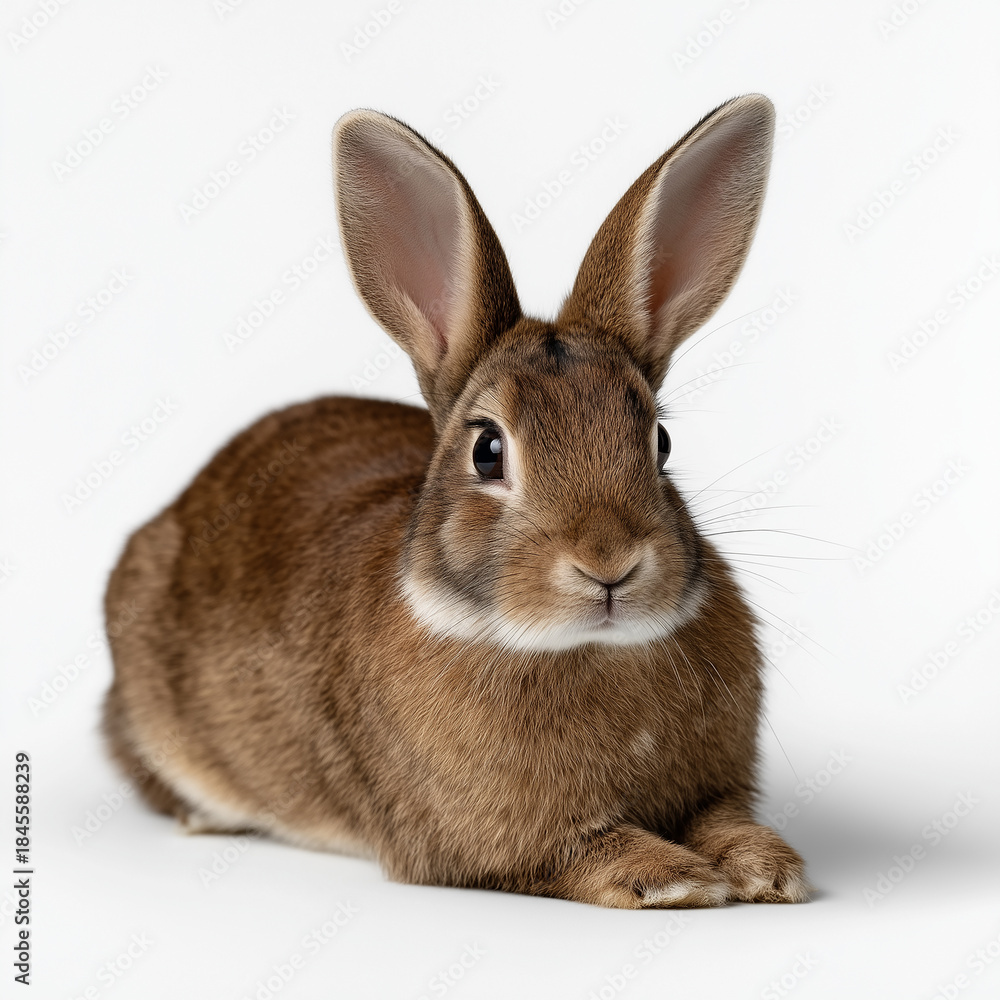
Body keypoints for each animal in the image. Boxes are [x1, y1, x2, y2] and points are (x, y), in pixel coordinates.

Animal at [102, 93, 809, 909]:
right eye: (488, 451)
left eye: (658, 441)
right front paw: (673, 879)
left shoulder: (713, 790)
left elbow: (723, 819)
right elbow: (583, 849)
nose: (608, 564)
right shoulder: (488, 845)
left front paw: (767, 867)